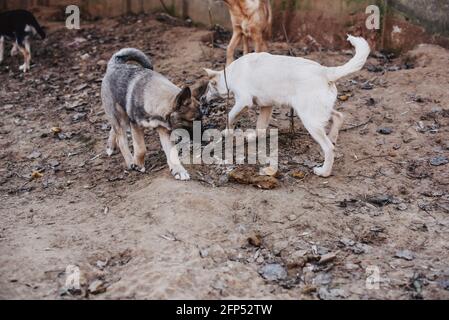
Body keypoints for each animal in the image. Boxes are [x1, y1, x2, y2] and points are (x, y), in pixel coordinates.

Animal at [102, 47, 202, 180]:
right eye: (193, 120)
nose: (202, 137)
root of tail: (114, 64)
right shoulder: (135, 126)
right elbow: (141, 148)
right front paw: (138, 165)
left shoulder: (164, 130)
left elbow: (172, 153)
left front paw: (178, 170)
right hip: (120, 117)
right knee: (121, 139)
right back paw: (129, 161)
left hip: (122, 117)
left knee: (114, 130)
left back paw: (110, 146)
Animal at [201, 36, 370, 179]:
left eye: (208, 87)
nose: (202, 99)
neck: (230, 74)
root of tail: (325, 71)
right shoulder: (266, 106)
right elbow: (260, 128)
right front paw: (250, 137)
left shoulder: (243, 101)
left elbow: (230, 116)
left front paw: (226, 132)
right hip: (318, 112)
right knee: (339, 117)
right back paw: (333, 137)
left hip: (309, 120)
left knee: (329, 148)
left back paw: (324, 171)